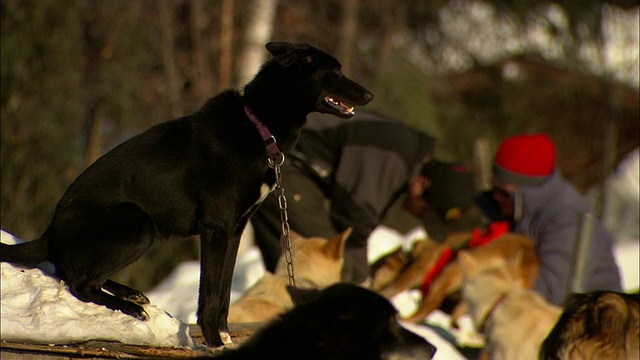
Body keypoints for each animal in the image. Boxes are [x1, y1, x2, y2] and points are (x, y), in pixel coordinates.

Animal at [0, 40, 372, 348]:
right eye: (336, 71)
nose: (369, 96)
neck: (257, 125)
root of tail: (51, 231)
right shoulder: (216, 228)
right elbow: (209, 294)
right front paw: (215, 342)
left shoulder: (235, 230)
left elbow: (223, 294)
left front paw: (224, 336)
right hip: (138, 223)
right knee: (81, 283)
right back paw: (129, 307)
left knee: (81, 275)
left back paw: (132, 295)